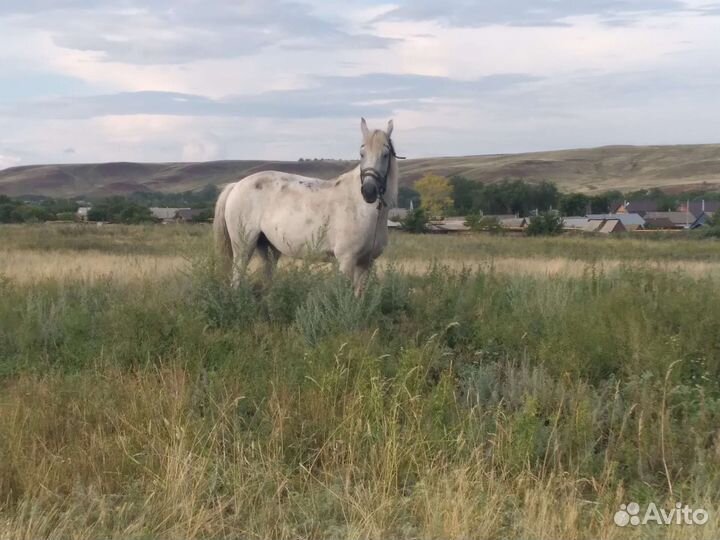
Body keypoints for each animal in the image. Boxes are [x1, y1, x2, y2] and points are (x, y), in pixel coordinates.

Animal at [213, 118, 401, 294]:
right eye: (362, 154)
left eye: (385, 154)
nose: (368, 191)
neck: (363, 209)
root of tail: (236, 186)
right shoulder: (346, 260)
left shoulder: (366, 263)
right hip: (243, 248)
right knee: (237, 280)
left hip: (268, 249)